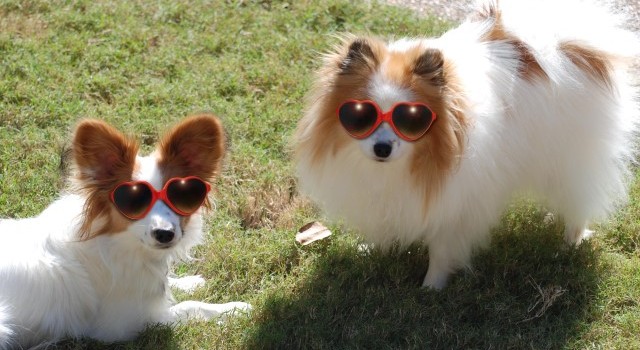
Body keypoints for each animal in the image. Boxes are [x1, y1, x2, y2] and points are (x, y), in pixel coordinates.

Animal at [0, 114, 251, 348]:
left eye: (181, 195)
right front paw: (233, 309)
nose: (164, 233)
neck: (116, 241)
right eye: (133, 201)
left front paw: (190, 282)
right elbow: (189, 307)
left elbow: (171, 283)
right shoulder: (127, 325)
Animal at [296, 0, 640, 288]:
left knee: (579, 201)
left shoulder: (457, 204)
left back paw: (569, 242)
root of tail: (567, 43)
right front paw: (374, 249)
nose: (382, 148)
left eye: (411, 119)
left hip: (572, 156)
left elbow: (441, 249)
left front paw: (431, 288)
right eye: (360, 115)